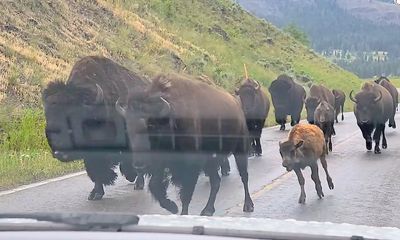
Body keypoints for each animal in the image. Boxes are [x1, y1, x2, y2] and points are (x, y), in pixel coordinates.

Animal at [42, 55, 149, 200]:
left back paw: (138, 183)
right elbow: (95, 170)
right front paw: (95, 193)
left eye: (75, 117)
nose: (59, 152)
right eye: (48, 117)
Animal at [116, 72, 253, 216]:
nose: (139, 165)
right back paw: (207, 210)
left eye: (151, 126)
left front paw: (181, 212)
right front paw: (172, 207)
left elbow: (185, 194)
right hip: (211, 161)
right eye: (128, 129)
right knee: (216, 181)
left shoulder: (191, 165)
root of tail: (237, 105)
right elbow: (155, 187)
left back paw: (248, 206)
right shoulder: (162, 165)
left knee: (244, 176)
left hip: (240, 150)